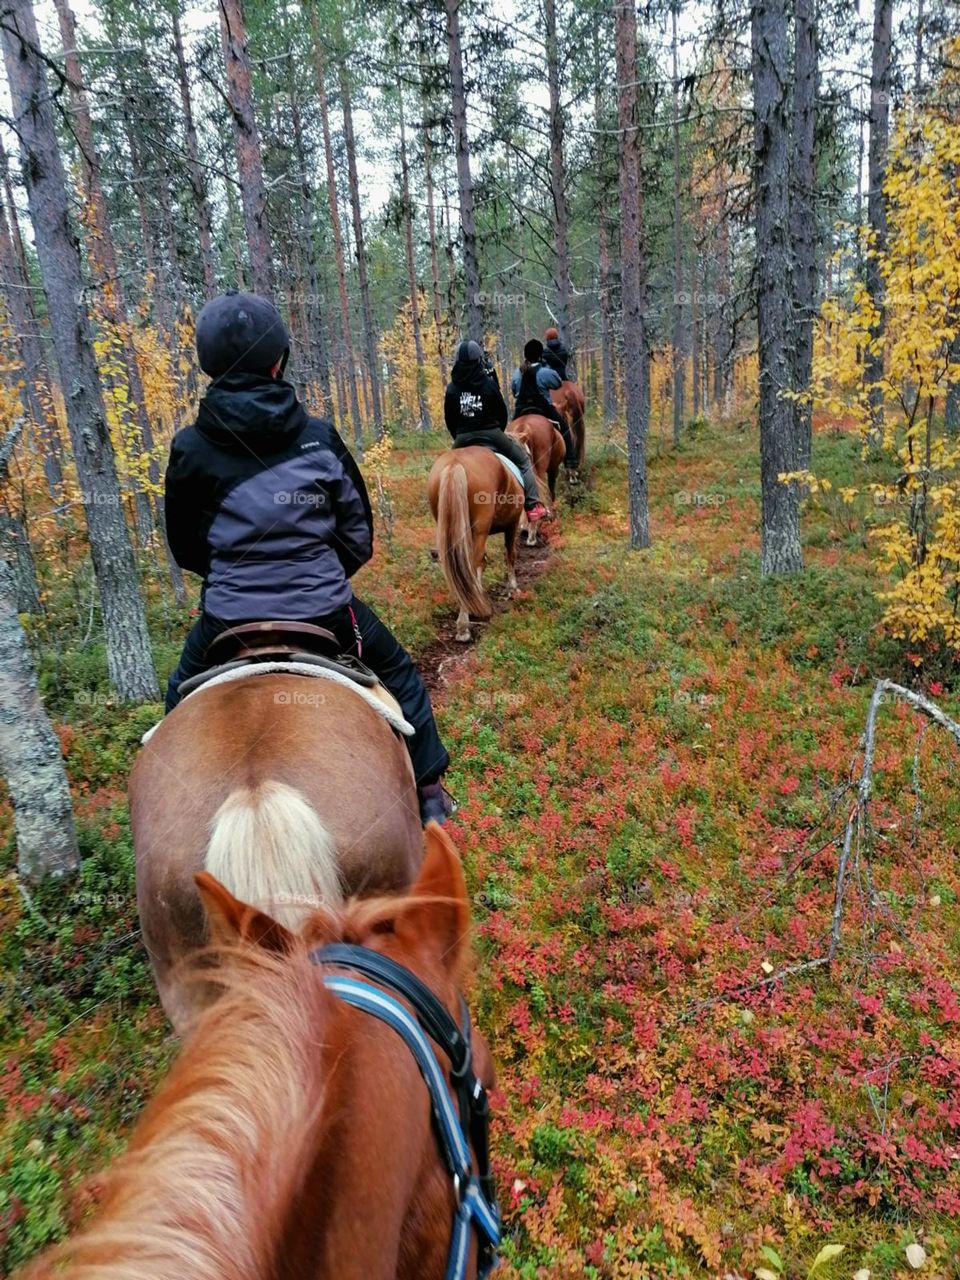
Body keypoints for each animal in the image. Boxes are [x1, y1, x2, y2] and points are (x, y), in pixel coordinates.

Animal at [427, 450, 522, 645]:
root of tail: (454, 464)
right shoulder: (512, 524)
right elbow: (510, 555)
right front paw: (512, 588)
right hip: (479, 530)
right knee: (470, 564)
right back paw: (464, 627)